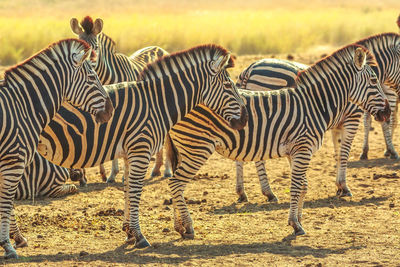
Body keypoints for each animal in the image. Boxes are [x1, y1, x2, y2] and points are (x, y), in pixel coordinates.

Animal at [0, 38, 112, 260]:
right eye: (92, 77)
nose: (111, 110)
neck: (22, 108)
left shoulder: (8, 164)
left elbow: (7, 205)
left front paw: (16, 239)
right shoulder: (14, 162)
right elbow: (8, 204)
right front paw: (8, 245)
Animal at [7, 44, 248, 251]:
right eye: (228, 86)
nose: (245, 119)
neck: (156, 103)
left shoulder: (130, 152)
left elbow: (127, 189)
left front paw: (129, 232)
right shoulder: (141, 149)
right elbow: (135, 191)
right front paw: (140, 236)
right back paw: (16, 239)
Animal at [70, 15, 169, 183]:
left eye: (96, 47)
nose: (85, 65)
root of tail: (160, 48)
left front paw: (124, 176)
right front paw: (111, 174)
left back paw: (167, 170)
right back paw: (156, 169)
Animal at [164, 45, 390, 240]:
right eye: (373, 80)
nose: (387, 112)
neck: (315, 105)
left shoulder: (295, 151)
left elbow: (304, 186)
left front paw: (299, 220)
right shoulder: (304, 147)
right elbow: (298, 185)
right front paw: (295, 225)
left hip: (185, 149)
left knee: (177, 185)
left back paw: (179, 226)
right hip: (197, 148)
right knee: (176, 183)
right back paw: (189, 227)